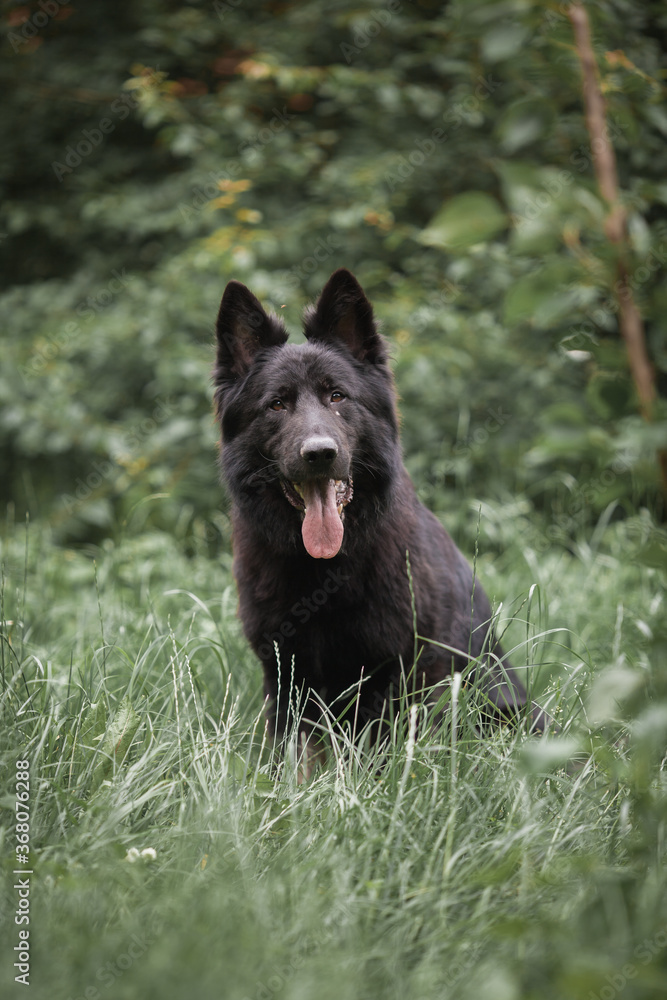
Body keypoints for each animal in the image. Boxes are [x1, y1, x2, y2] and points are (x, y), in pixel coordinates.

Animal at [215, 268, 548, 772]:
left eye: (337, 396)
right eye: (277, 405)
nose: (319, 454)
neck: (324, 573)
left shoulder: (408, 672)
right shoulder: (287, 673)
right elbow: (297, 756)